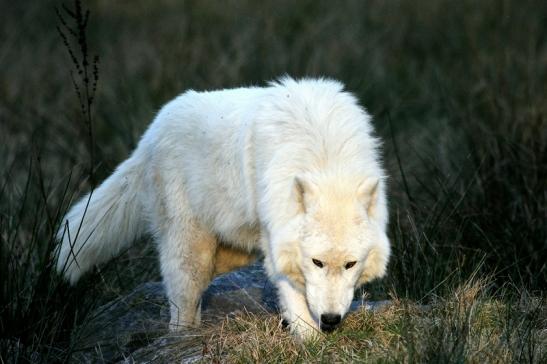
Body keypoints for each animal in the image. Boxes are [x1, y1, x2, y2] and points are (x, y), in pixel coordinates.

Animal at [56, 77, 390, 342]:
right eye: (317, 262)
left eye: (350, 264)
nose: (331, 320)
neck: (325, 158)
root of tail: (151, 132)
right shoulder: (277, 236)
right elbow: (294, 294)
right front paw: (310, 340)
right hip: (192, 252)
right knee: (182, 303)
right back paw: (183, 338)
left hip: (230, 252)